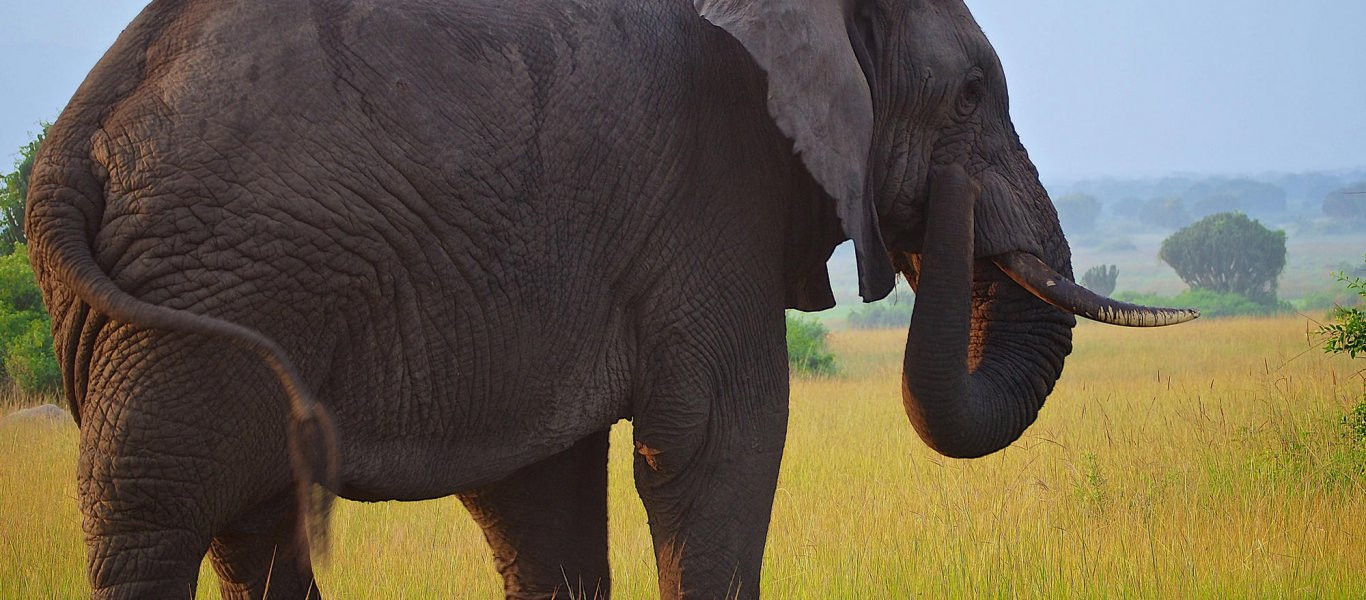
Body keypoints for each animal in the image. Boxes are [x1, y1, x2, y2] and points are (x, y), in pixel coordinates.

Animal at [24, 0, 1196, 598]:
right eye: (968, 95)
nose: (946, 202)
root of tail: (69, 147)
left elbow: (540, 493)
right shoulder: (711, 181)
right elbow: (719, 447)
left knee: (250, 526)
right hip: (213, 293)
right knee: (156, 513)